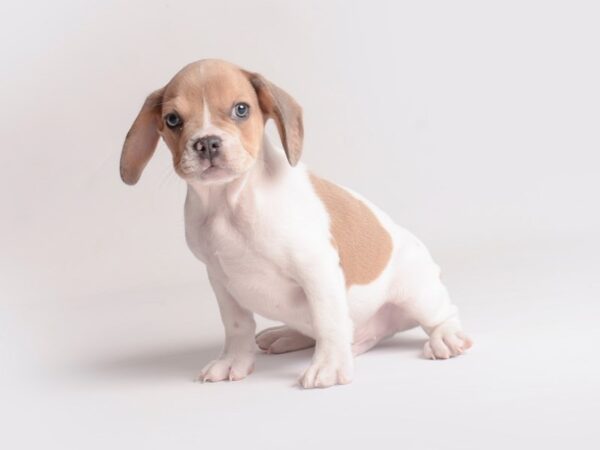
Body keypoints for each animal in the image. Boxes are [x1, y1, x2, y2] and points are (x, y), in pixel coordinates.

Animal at [119, 59, 472, 390]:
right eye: (172, 120)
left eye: (241, 109)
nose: (206, 143)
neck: (229, 202)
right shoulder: (221, 281)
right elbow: (237, 326)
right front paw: (234, 361)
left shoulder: (317, 269)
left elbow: (328, 320)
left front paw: (329, 367)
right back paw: (287, 335)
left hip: (417, 293)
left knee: (442, 314)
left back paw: (446, 337)